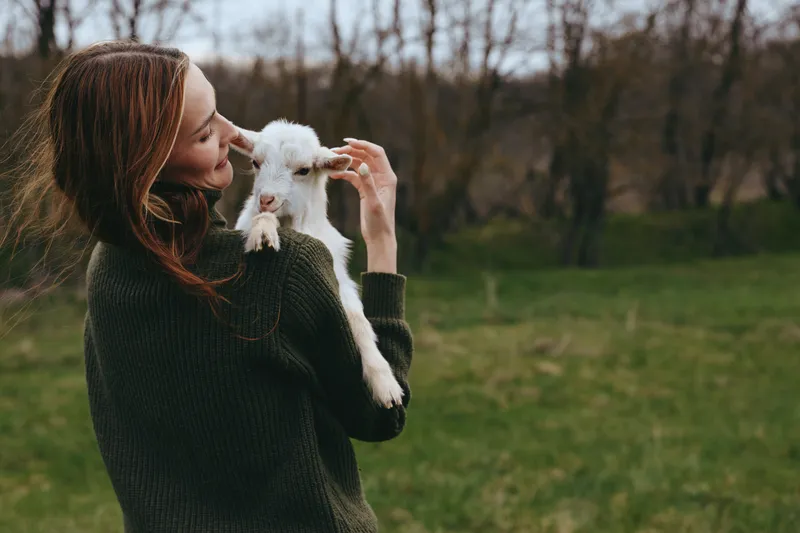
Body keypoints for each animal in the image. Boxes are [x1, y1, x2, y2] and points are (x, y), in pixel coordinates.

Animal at [229, 119, 404, 409]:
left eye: (303, 170)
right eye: (255, 162)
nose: (266, 199)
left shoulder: (340, 279)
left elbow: (358, 319)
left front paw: (386, 386)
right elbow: (262, 223)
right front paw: (263, 234)